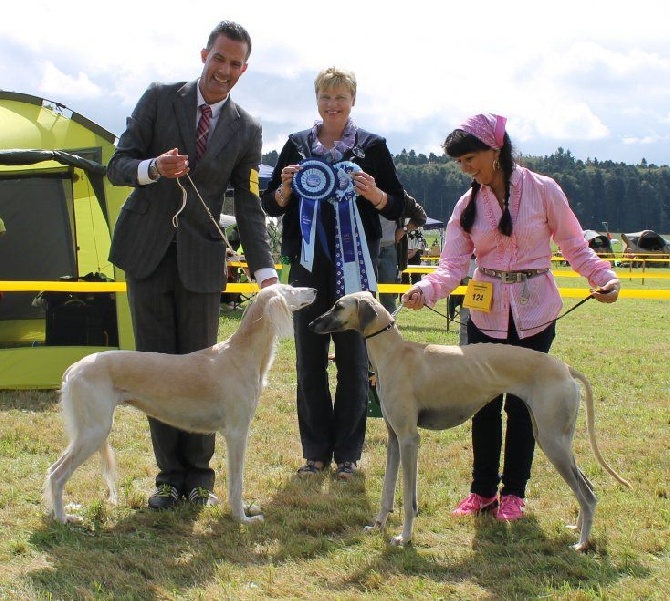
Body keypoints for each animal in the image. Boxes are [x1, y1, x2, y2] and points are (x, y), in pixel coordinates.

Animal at [45, 284, 318, 524]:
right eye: (290, 289)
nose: (314, 290)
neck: (241, 354)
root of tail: (74, 368)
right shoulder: (237, 433)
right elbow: (237, 482)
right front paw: (242, 518)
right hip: (95, 430)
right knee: (58, 475)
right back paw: (63, 519)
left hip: (89, 431)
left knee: (53, 470)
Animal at [310, 290, 632, 548]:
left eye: (338, 305)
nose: (312, 324)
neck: (395, 352)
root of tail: (565, 367)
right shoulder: (394, 438)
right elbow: (387, 490)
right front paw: (378, 524)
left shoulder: (409, 439)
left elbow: (408, 497)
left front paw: (405, 537)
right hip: (553, 438)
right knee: (587, 488)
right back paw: (577, 529)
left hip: (553, 441)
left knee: (587, 494)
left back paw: (581, 543)